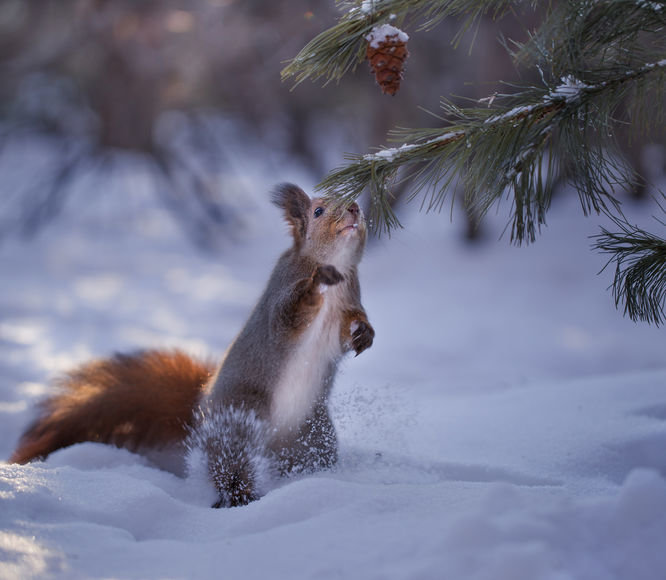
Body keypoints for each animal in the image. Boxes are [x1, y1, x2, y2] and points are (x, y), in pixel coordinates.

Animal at [10, 183, 374, 508]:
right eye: (318, 211)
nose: (355, 209)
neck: (337, 266)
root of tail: (200, 414)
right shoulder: (282, 300)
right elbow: (291, 314)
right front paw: (317, 282)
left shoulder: (349, 302)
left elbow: (347, 331)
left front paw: (364, 333)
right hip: (239, 421)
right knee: (229, 467)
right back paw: (240, 497)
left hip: (314, 436)